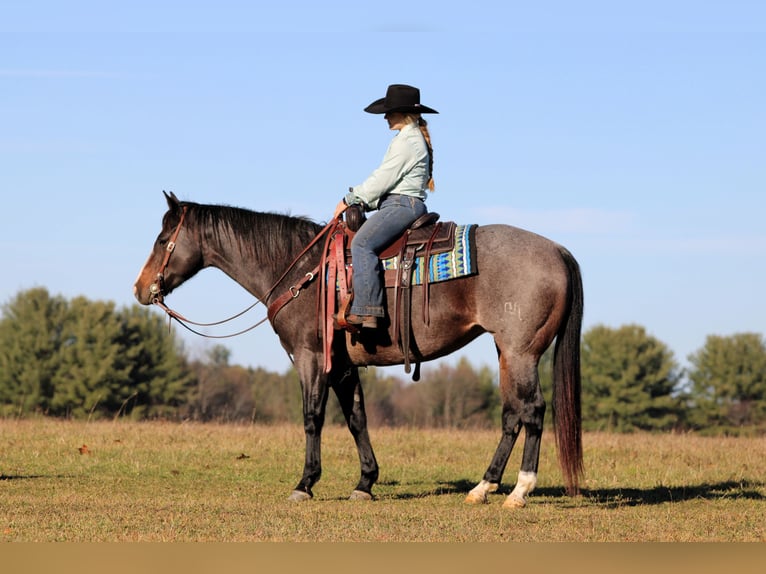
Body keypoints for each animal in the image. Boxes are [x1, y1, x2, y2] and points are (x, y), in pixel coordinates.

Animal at [134, 191, 584, 508]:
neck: (304, 272)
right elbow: (356, 420)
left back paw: (519, 491)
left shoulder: (312, 358)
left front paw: (305, 483)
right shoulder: (344, 366)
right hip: (506, 354)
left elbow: (313, 418)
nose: (140, 289)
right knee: (512, 415)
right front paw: (365, 482)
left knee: (533, 411)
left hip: (521, 352)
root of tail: (558, 251)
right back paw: (483, 487)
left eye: (162, 238)